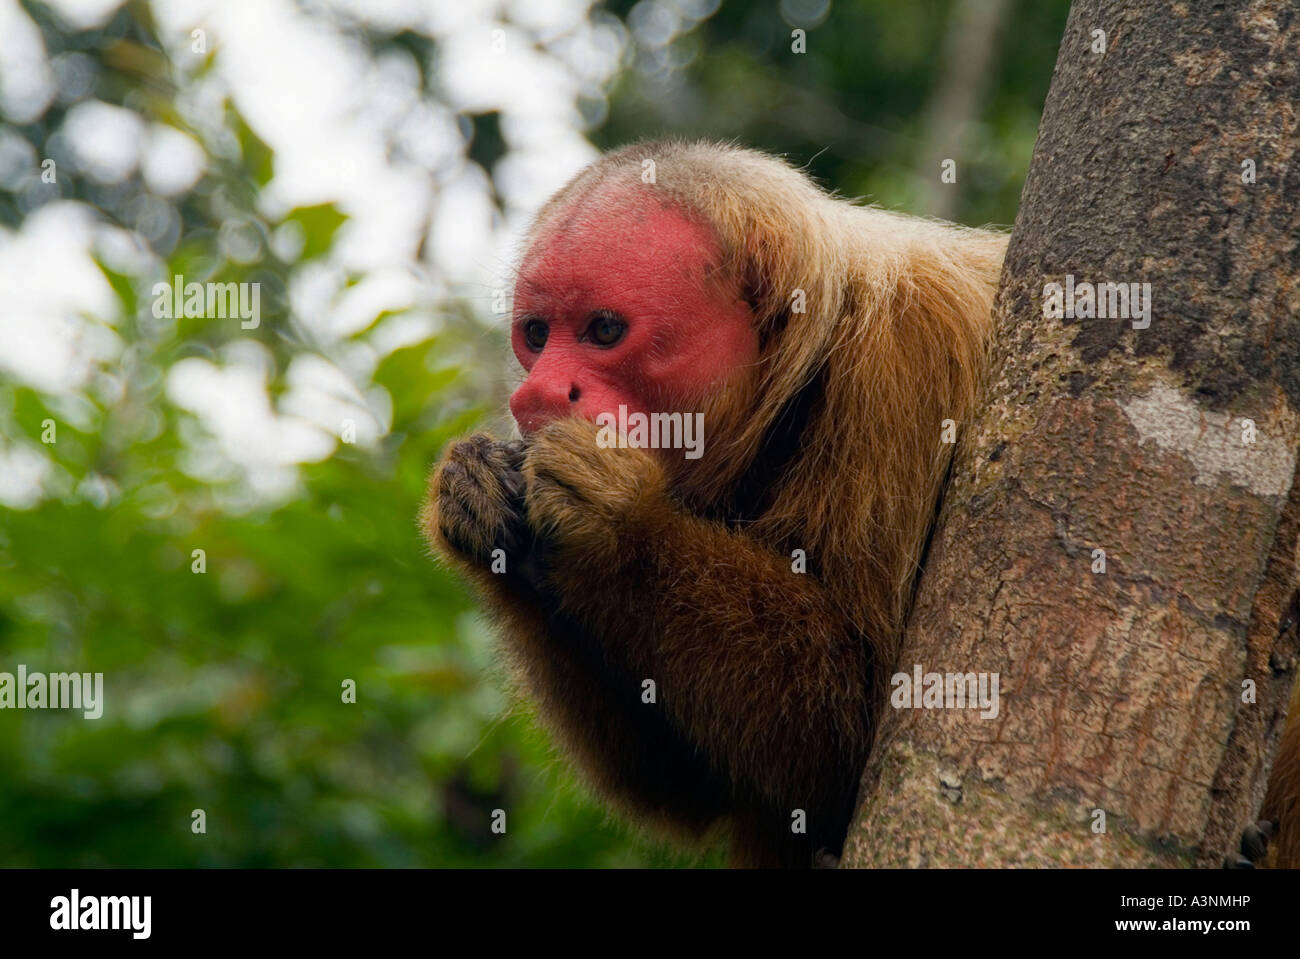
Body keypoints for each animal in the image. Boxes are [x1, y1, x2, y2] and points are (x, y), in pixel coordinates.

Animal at [421, 141, 1294, 868]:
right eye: (538, 334)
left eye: (604, 330)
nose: (537, 394)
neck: (799, 383)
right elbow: (700, 786)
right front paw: (478, 505)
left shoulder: (911, 370)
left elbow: (863, 723)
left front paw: (613, 520)